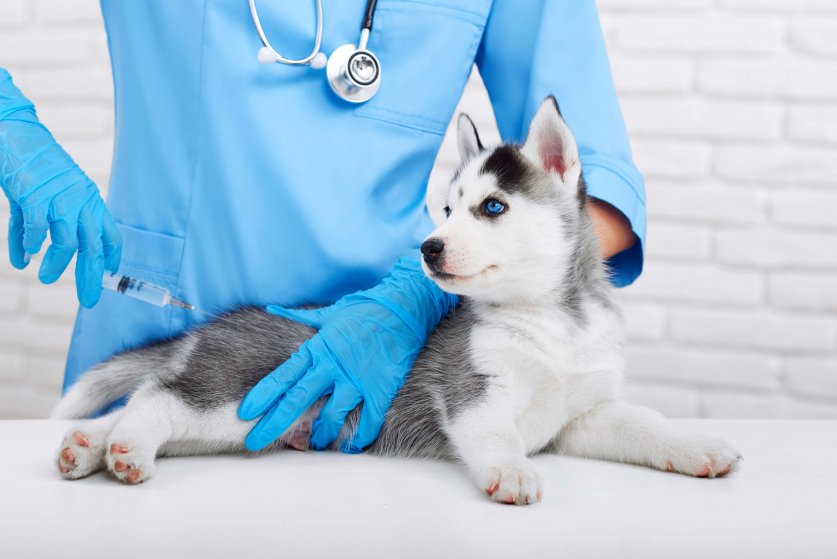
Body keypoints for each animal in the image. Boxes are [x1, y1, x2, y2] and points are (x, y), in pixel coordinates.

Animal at [52, 98, 740, 506]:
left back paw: (88, 446)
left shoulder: (583, 414)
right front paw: (514, 470)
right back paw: (126, 450)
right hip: (235, 393)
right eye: (446, 208)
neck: (553, 322)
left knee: (144, 400)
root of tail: (214, 325)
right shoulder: (472, 391)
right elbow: (495, 432)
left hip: (240, 424)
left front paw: (696, 446)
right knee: (157, 401)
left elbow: (643, 423)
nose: (428, 249)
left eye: (492, 207)